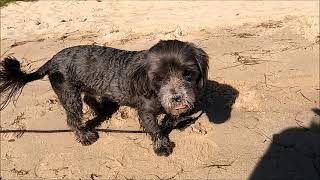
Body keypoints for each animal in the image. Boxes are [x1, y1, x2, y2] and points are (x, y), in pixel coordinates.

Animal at [0, 39, 209, 156]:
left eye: (188, 74)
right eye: (159, 78)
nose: (177, 98)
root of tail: (51, 60)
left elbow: (170, 118)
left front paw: (178, 121)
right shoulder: (146, 111)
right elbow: (155, 129)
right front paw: (161, 145)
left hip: (89, 87)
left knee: (89, 99)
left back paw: (103, 110)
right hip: (69, 96)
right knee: (73, 119)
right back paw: (84, 136)